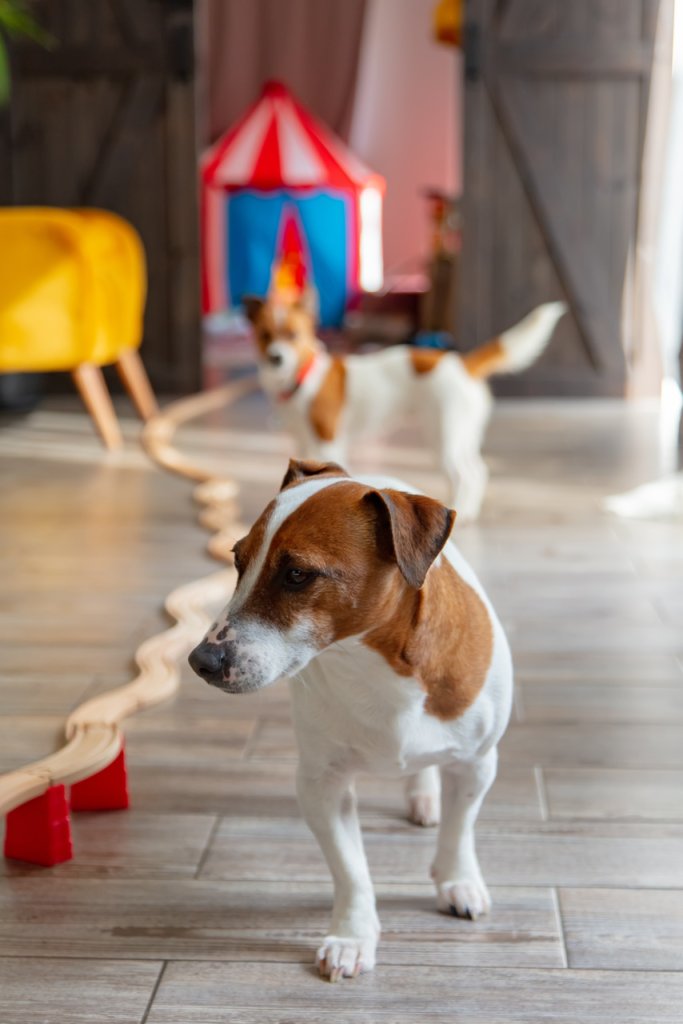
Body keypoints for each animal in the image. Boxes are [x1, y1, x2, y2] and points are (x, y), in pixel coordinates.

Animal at [188, 460, 511, 978]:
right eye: (237, 560)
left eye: (297, 574)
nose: (200, 661)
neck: (371, 663)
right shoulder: (323, 785)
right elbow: (351, 870)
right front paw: (353, 937)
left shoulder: (477, 763)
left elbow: (459, 831)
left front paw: (458, 882)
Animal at [245, 294, 565, 520]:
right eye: (265, 335)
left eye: (293, 335)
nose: (276, 357)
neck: (302, 374)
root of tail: (461, 364)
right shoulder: (302, 440)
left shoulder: (328, 441)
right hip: (462, 436)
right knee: (478, 470)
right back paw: (466, 507)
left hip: (443, 437)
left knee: (465, 473)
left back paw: (462, 511)